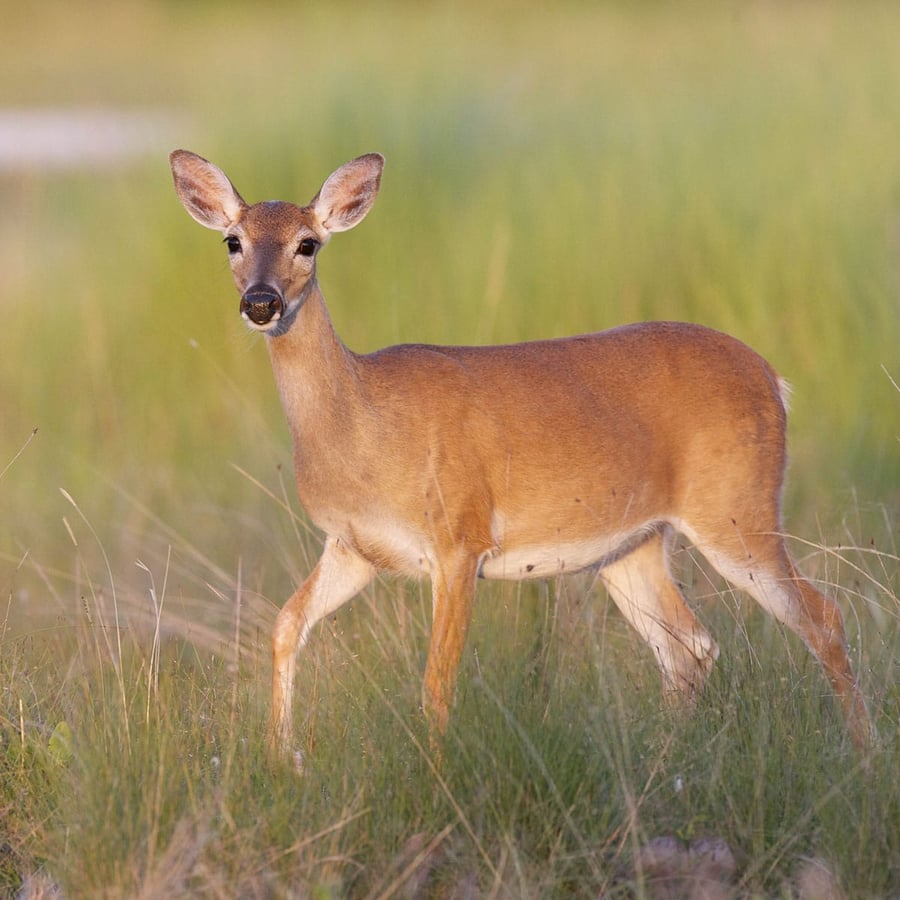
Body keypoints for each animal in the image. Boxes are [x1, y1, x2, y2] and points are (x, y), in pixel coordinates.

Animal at [169, 149, 871, 760]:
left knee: (824, 616)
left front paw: (436, 781)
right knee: (690, 645)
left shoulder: (460, 537)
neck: (363, 425)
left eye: (308, 243)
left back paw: (861, 759)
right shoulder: (354, 547)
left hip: (736, 507)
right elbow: (285, 626)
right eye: (232, 240)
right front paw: (279, 759)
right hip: (632, 544)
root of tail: (775, 380)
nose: (261, 303)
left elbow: (436, 684)